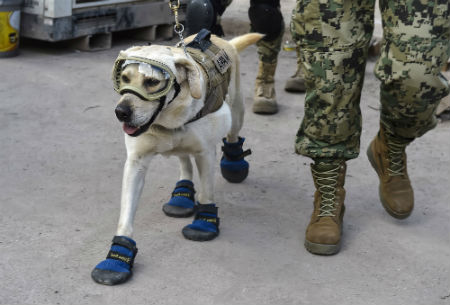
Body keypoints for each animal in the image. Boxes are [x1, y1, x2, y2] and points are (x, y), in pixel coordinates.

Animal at [91, 29, 262, 284]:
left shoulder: (205, 153)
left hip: (237, 112)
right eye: (124, 78)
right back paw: (182, 194)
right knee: (184, 161)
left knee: (232, 136)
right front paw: (117, 258)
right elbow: (126, 216)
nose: (121, 112)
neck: (168, 119)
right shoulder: (136, 164)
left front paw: (204, 222)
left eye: (152, 82)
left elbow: (207, 193)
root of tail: (221, 39)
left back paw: (234, 163)